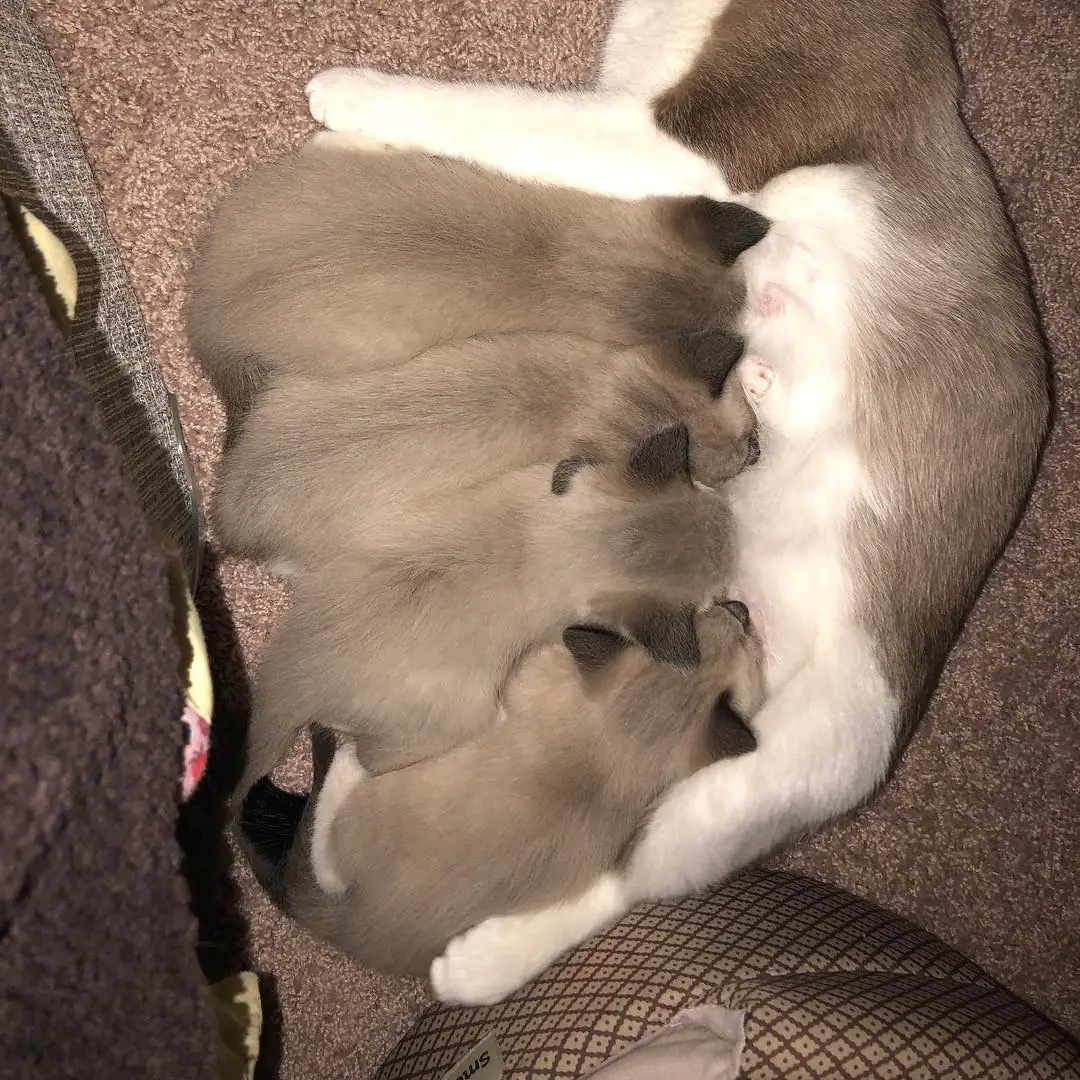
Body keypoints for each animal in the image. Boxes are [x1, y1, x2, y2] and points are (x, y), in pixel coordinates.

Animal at [232, 423, 741, 810]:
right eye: (712, 596)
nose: (733, 518)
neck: (582, 540)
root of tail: (293, 676)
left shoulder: (562, 479)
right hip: (463, 710)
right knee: (366, 756)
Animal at [253, 599, 764, 977]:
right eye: (730, 622)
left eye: (742, 626)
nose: (741, 605)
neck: (629, 732)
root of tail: (359, 931)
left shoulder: (527, 678)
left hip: (368, 808)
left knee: (326, 843)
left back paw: (340, 749)